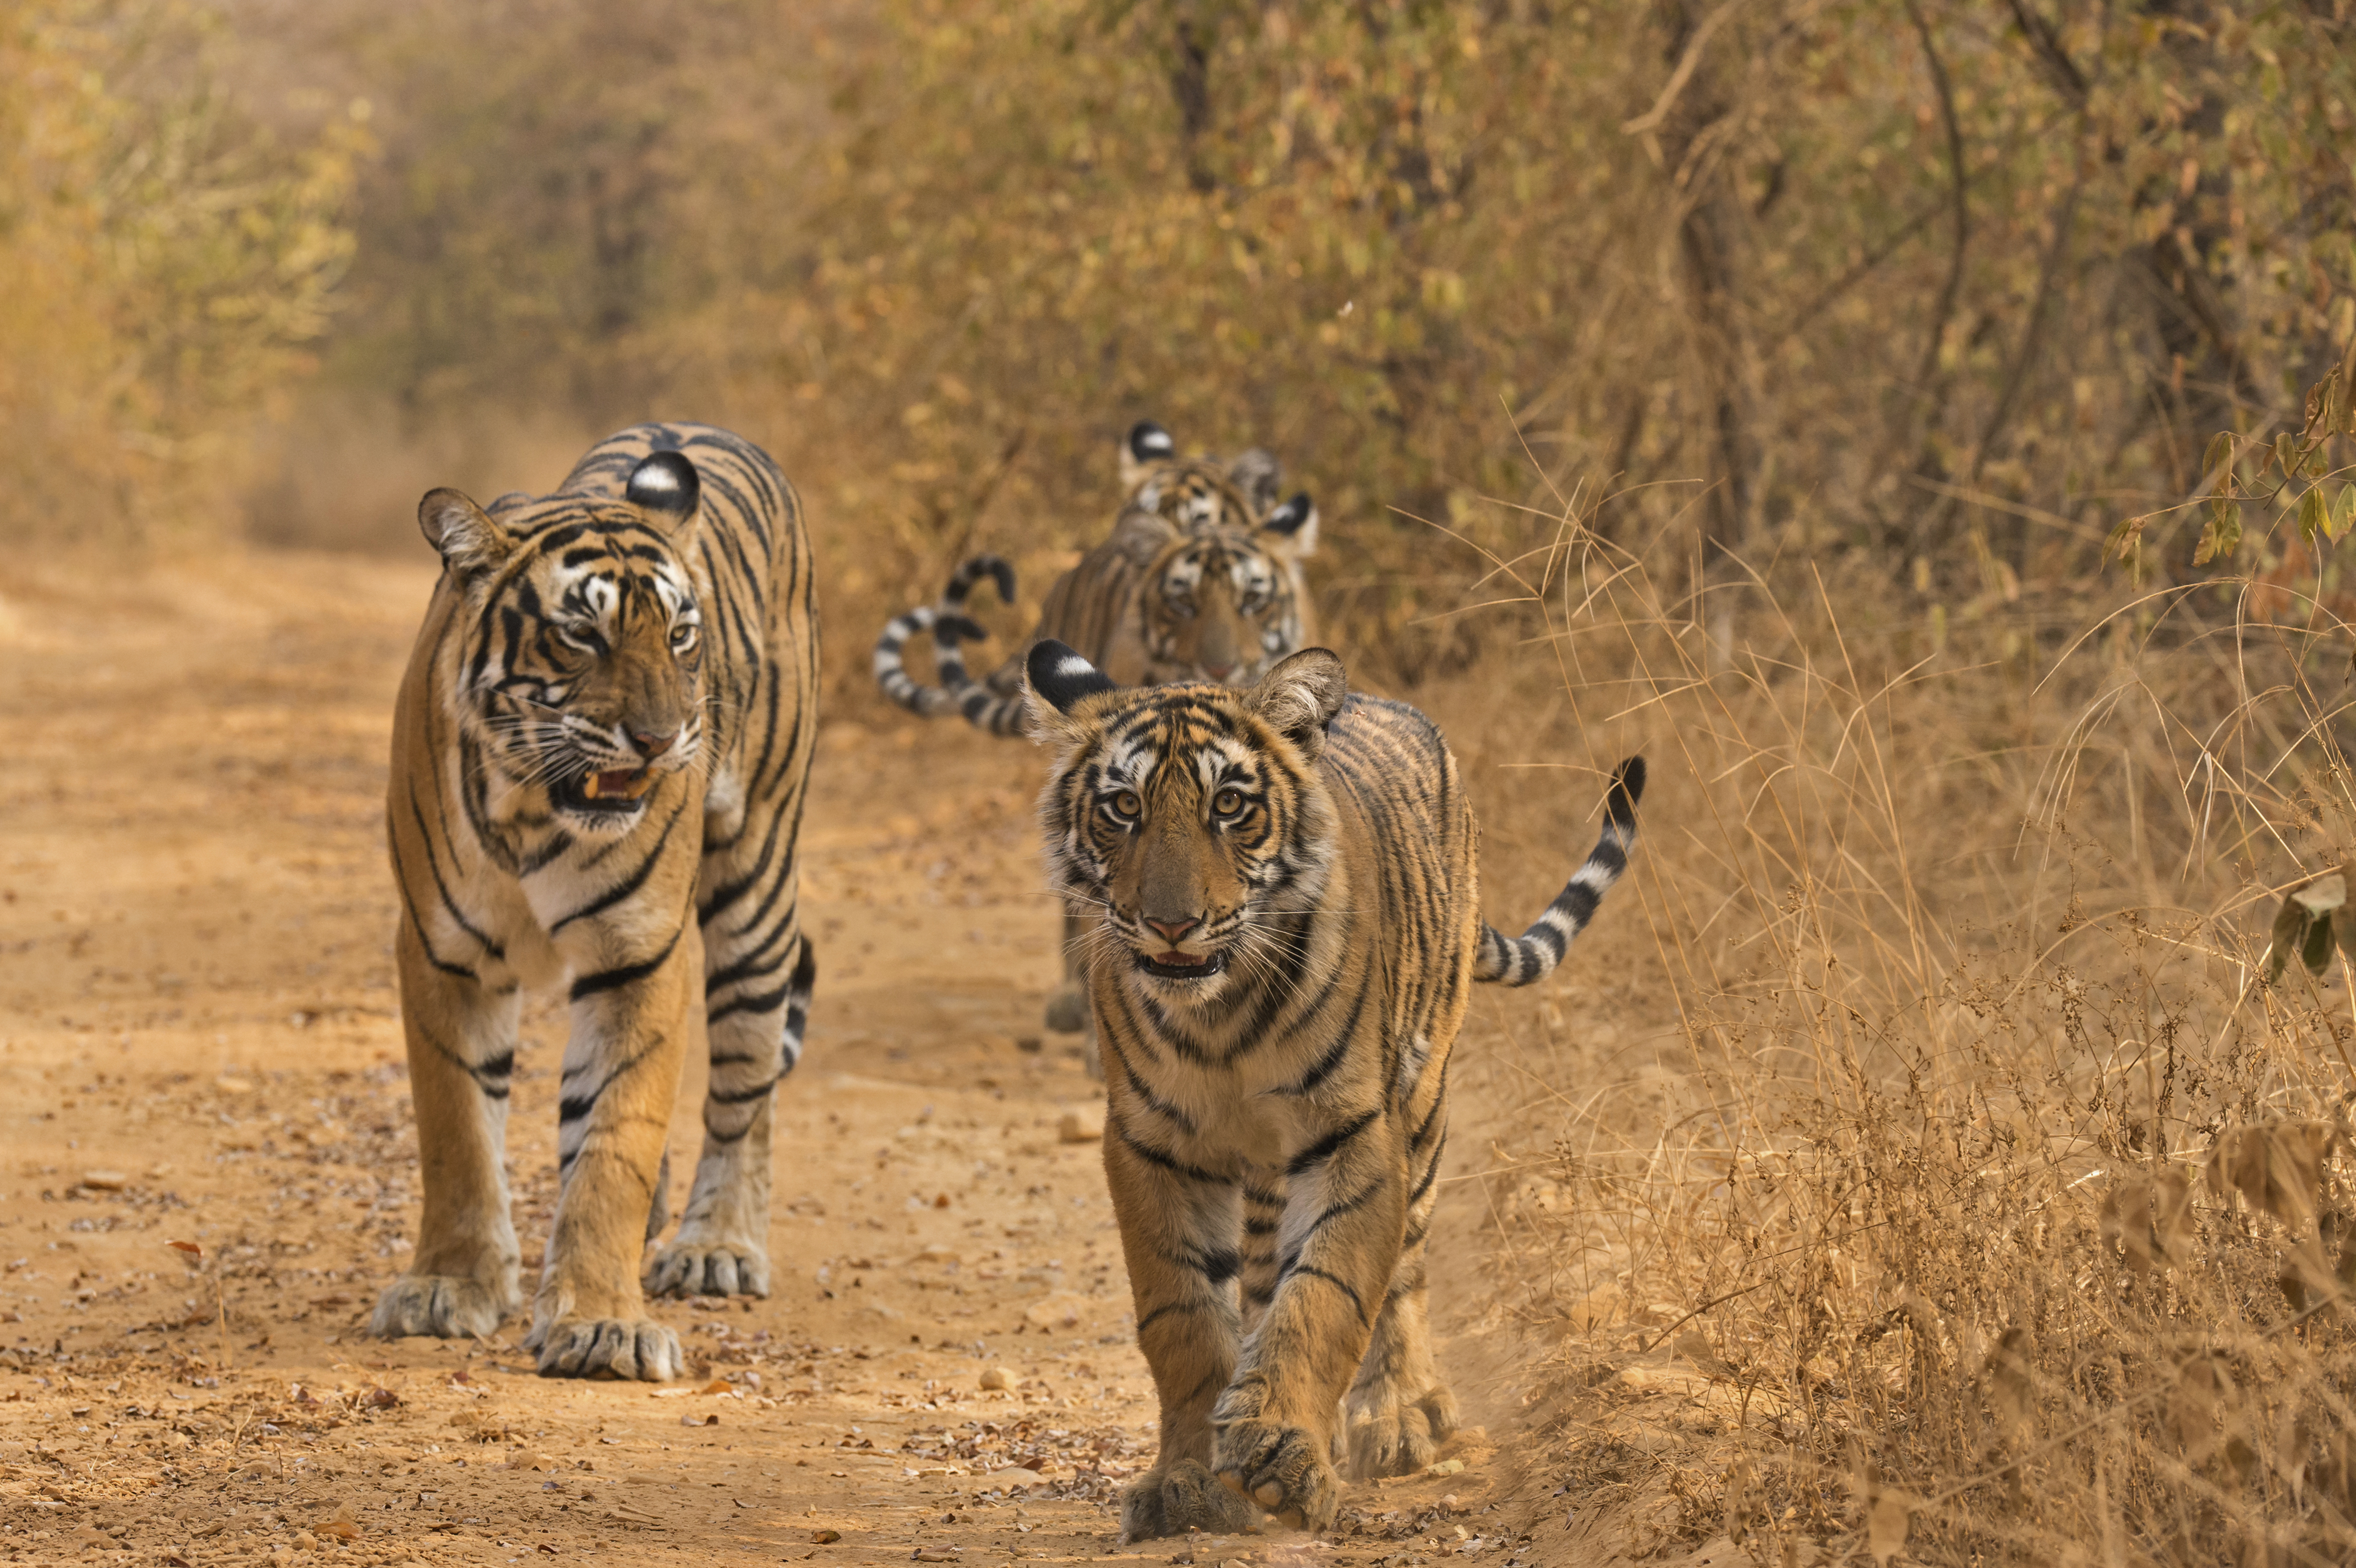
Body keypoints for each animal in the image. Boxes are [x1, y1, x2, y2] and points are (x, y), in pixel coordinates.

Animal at [362, 421, 815, 1375]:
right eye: (582, 636)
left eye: (681, 636)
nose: (659, 739)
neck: (535, 809)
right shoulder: (442, 952)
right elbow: (458, 1132)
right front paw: (448, 1286)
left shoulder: (640, 954)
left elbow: (614, 1143)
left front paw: (604, 1324)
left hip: (758, 889)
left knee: (745, 1088)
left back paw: (718, 1244)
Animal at [1022, 640, 1649, 1535]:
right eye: (1122, 807)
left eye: (1230, 805)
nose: (1172, 925)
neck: (1219, 1021)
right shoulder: (1151, 1144)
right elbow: (1181, 1316)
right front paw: (1189, 1478)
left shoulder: (1352, 1132)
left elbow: (1327, 1293)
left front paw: (1282, 1452)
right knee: (1257, 1278)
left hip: (1424, 1104)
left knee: (1405, 1271)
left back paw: (1400, 1418)